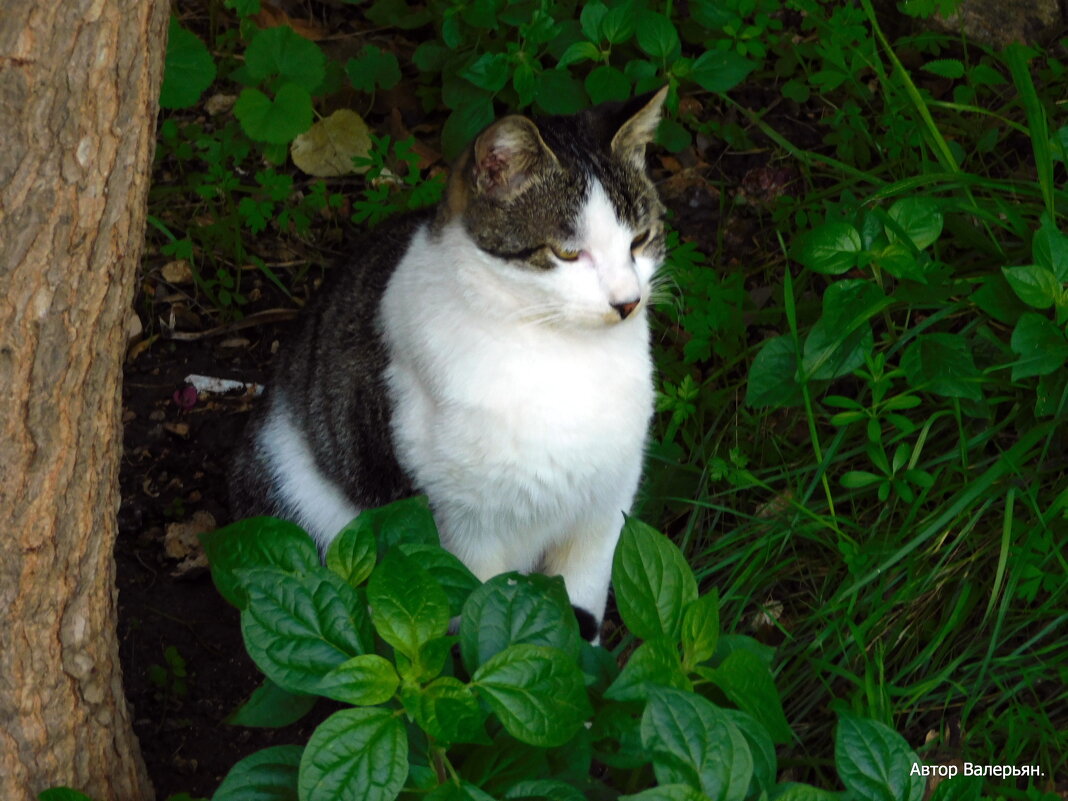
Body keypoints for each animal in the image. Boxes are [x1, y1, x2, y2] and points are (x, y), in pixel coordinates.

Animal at [231, 87, 666, 645]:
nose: (627, 301)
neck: (560, 357)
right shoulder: (461, 531)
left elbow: (580, 612)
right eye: (568, 253)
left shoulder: (606, 506)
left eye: (640, 240)